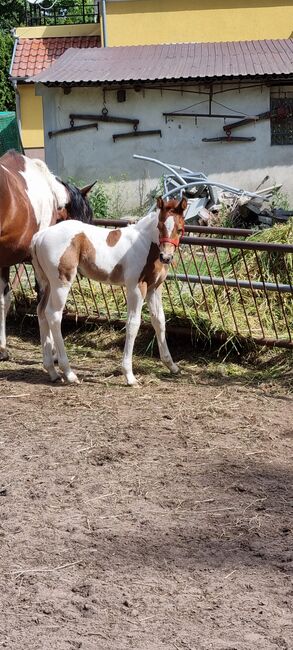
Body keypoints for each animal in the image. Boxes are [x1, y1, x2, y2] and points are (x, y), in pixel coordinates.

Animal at [0, 148, 93, 360]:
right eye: (86, 216)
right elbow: (44, 302)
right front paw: (52, 351)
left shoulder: (3, 261)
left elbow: (4, 300)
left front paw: (1, 347)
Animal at [32, 195, 186, 382]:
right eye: (160, 226)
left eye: (180, 229)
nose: (166, 257)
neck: (145, 244)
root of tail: (40, 235)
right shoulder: (136, 287)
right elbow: (133, 324)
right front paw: (129, 375)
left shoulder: (154, 289)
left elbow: (159, 321)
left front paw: (172, 366)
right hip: (61, 283)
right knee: (53, 315)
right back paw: (69, 373)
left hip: (47, 283)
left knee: (41, 312)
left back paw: (52, 371)